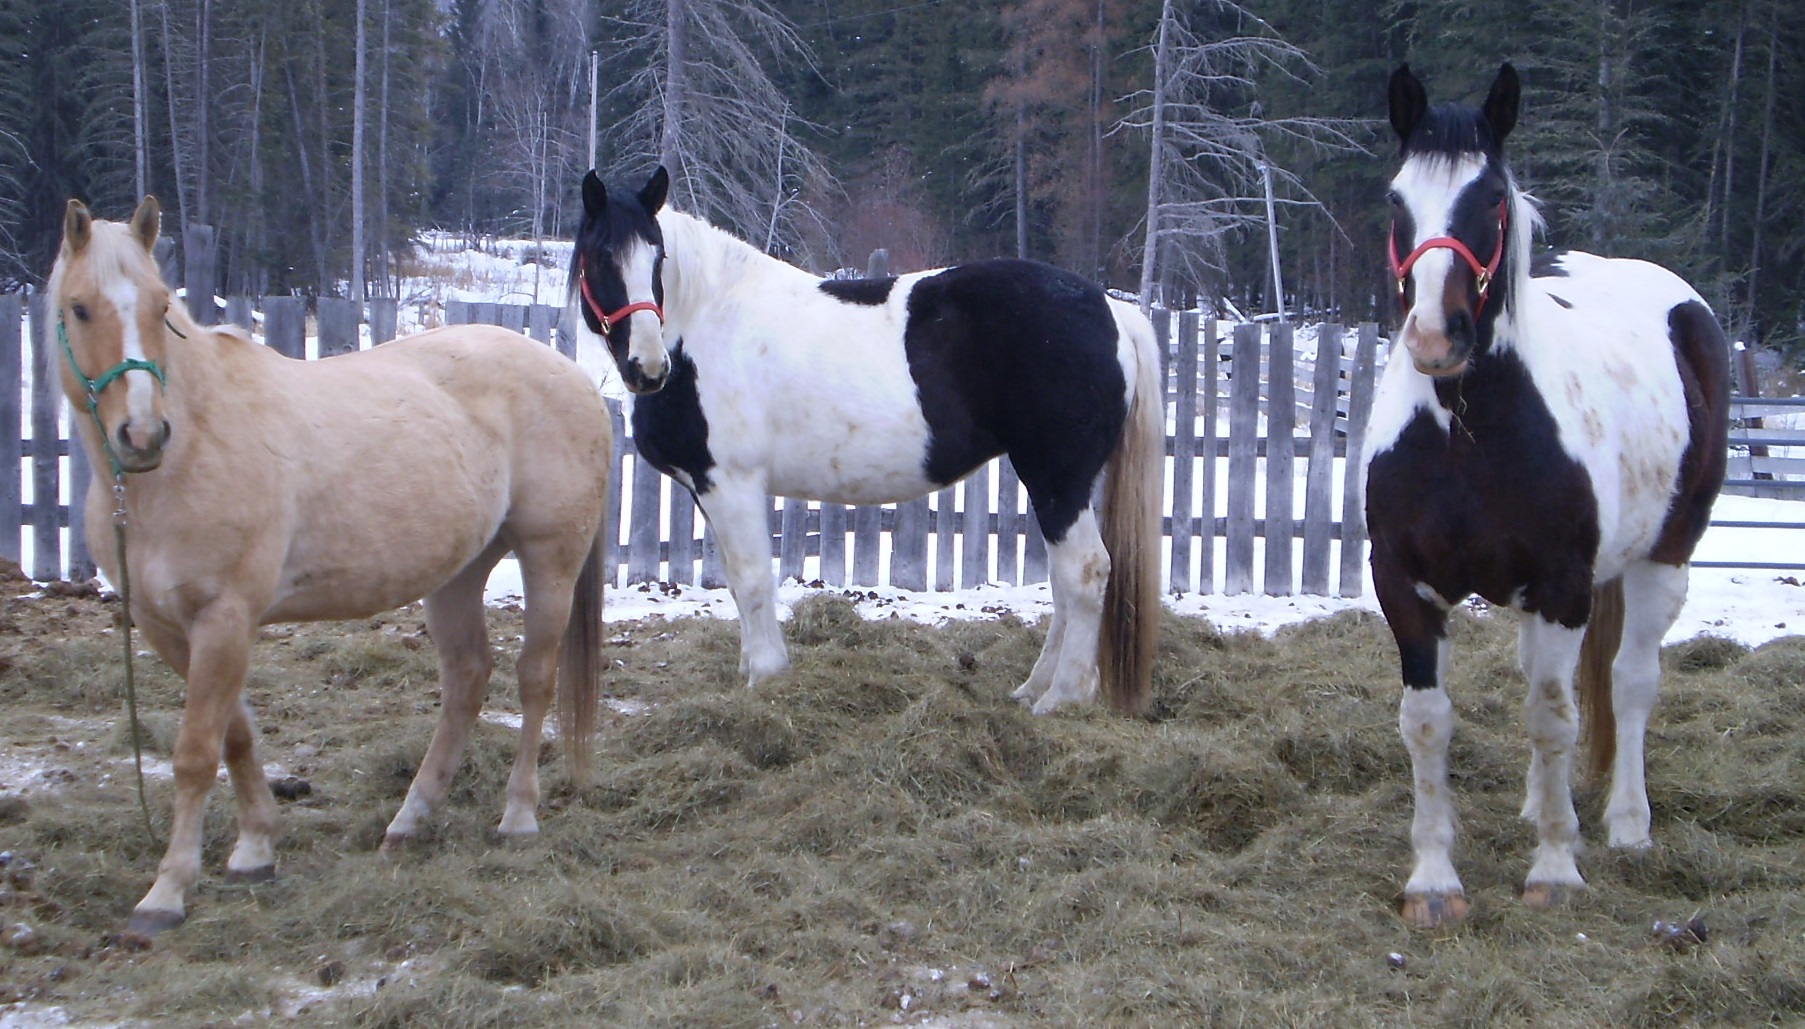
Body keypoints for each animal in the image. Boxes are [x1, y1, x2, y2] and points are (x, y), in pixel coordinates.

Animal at [47, 194, 613, 931]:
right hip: (457, 573)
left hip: (550, 560)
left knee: (533, 679)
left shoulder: (225, 618)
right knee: (467, 678)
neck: (191, 449)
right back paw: (410, 819)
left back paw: (516, 816)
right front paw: (254, 849)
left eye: (159, 304)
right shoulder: (166, 625)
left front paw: (166, 890)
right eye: (79, 308)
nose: (142, 435)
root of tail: (578, 378)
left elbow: (196, 752)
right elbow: (235, 735)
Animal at [566, 167, 1155, 711]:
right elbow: (735, 581)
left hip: (1057, 478)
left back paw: (1062, 699)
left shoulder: (731, 484)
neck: (707, 320)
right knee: (1063, 580)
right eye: (599, 259)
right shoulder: (708, 489)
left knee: (1085, 572)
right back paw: (1033, 690)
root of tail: (1113, 310)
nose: (647, 367)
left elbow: (753, 580)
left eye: (657, 257)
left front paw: (767, 677)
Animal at [1364, 65, 1732, 931]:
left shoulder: (1565, 587)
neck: (1465, 433)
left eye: (1491, 198)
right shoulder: (1403, 587)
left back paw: (1626, 824)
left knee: (1629, 682)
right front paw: (1433, 879)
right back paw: (1542, 805)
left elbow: (1553, 717)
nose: (1436, 337)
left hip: (1663, 559)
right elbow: (1427, 723)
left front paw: (1556, 869)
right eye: (1396, 198)